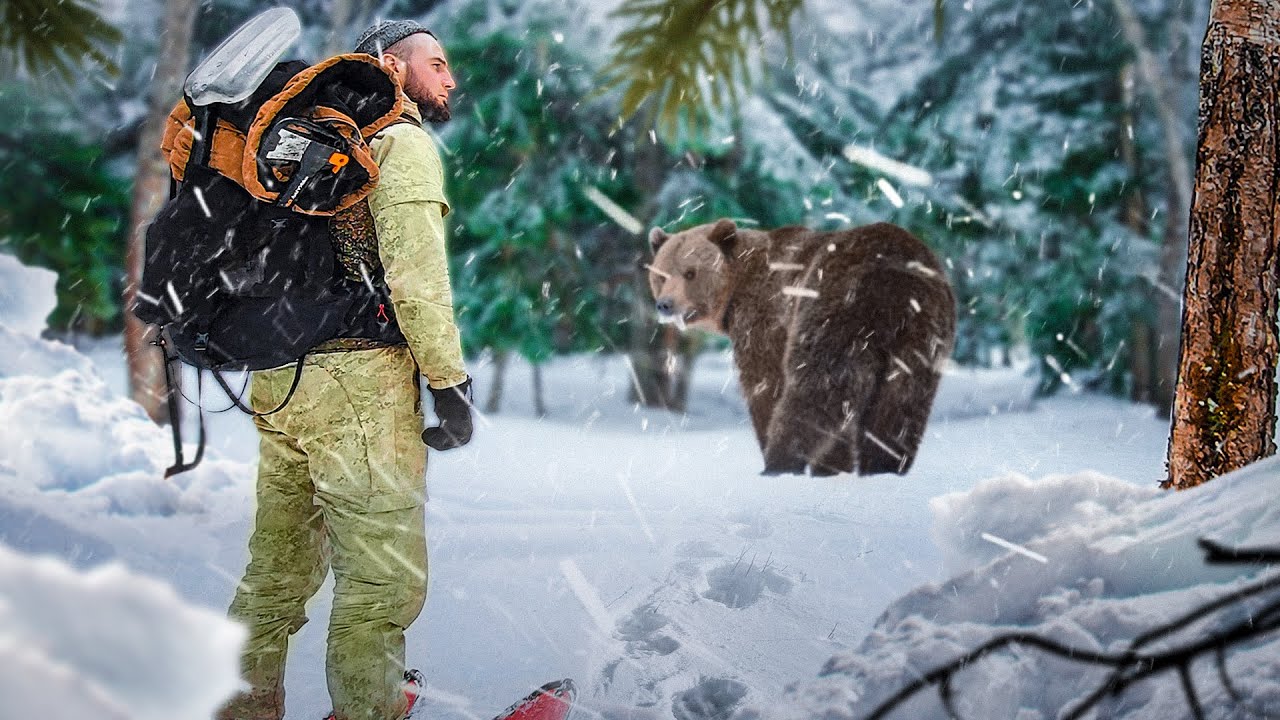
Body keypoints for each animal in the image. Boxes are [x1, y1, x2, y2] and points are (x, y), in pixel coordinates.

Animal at [650, 219, 962, 476]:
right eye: (661, 274)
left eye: (690, 272)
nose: (666, 304)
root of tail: (896, 277)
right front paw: (835, 468)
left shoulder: (767, 322)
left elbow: (766, 385)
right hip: (923, 335)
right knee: (901, 403)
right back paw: (884, 467)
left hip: (835, 310)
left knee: (815, 389)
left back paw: (779, 464)